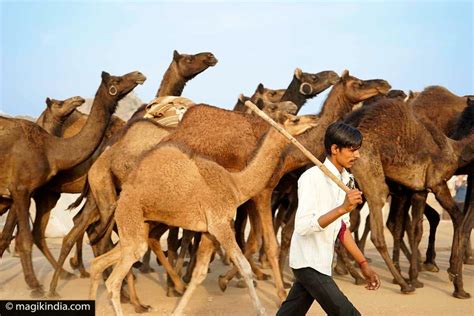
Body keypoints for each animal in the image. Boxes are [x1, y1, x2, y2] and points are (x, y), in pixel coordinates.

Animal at [0, 70, 145, 298]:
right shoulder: (20, 189)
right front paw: (35, 286)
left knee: (37, 233)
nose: (138, 74)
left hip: (46, 196)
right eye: (116, 79)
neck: (50, 150)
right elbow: (23, 239)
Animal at [89, 111, 318, 316]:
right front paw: (261, 310)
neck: (235, 186)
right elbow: (244, 267)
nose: (314, 119)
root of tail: (122, 197)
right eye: (295, 119)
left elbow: (199, 275)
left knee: (99, 263)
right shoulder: (220, 224)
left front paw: (177, 311)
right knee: (113, 280)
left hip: (138, 226)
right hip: (131, 217)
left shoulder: (209, 231)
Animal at [344, 97, 474, 298]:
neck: (455, 149)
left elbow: (418, 228)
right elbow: (457, 220)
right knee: (376, 232)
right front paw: (456, 283)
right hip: (370, 173)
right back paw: (403, 284)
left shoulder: (419, 188)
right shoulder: (437, 183)